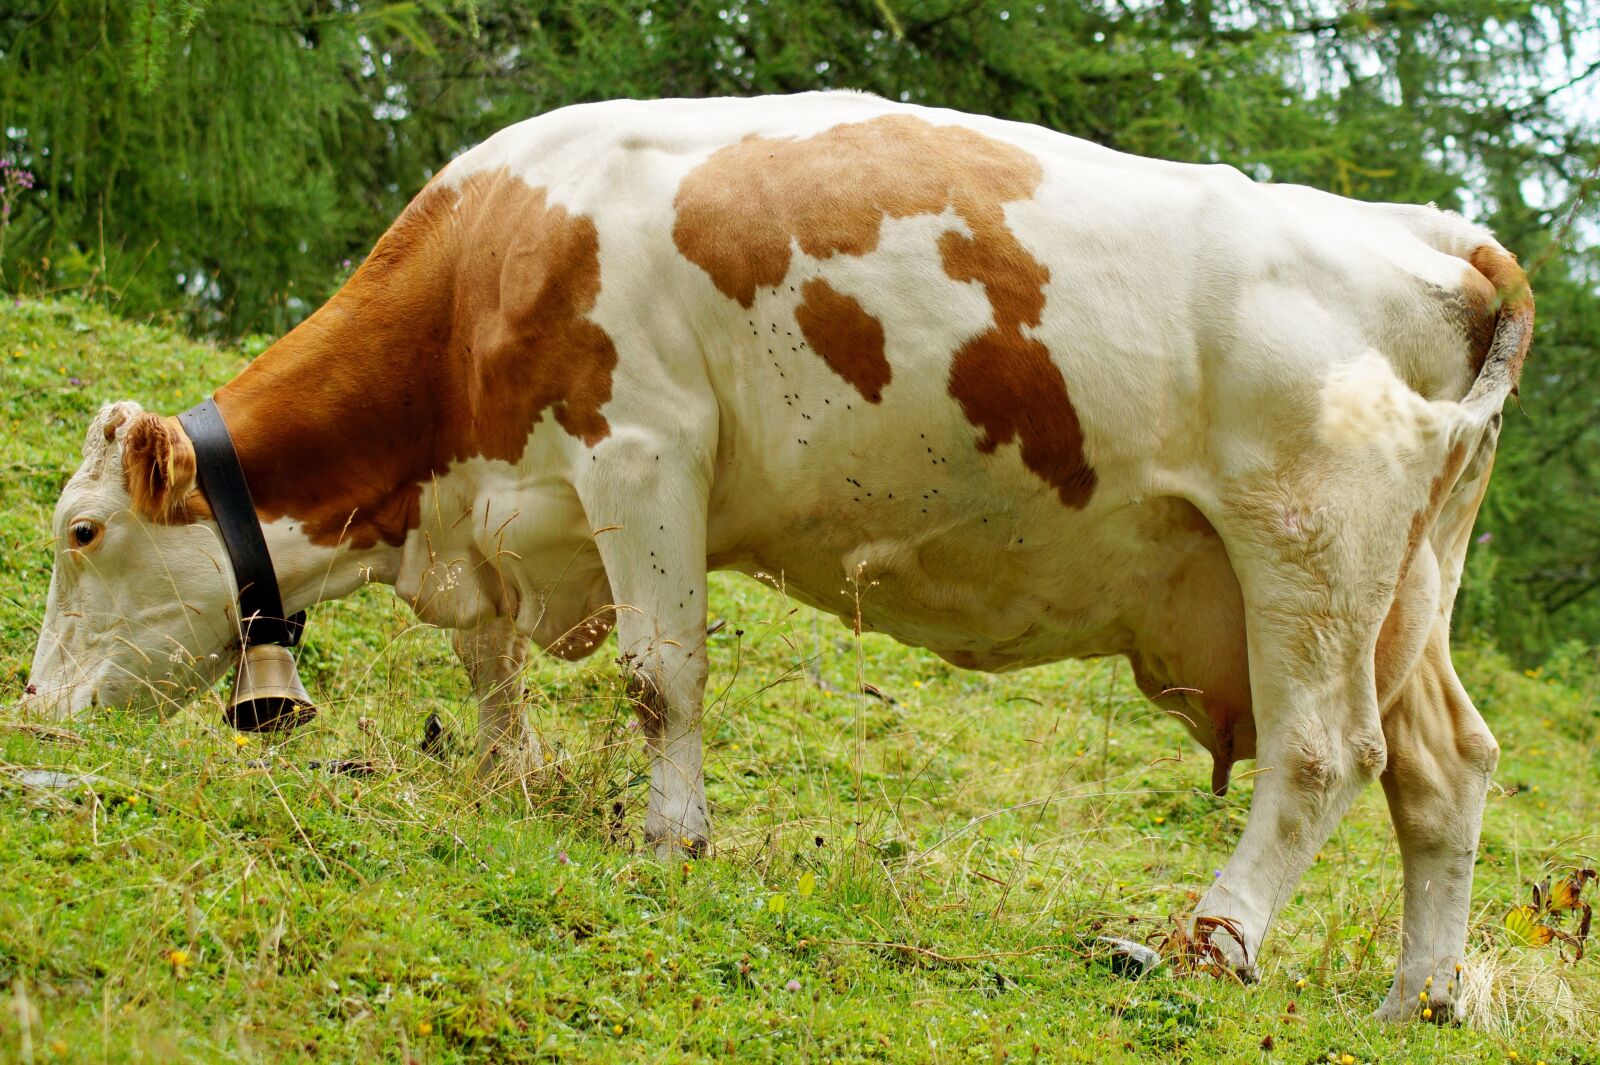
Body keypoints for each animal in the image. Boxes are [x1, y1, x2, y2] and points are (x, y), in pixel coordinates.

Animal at [19, 92, 1532, 1021]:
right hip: (1407, 591)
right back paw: (1417, 994)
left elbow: (658, 674)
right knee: (1444, 771)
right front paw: (511, 782)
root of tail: (1429, 234)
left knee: (1321, 754)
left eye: (81, 534)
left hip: (1307, 549)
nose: (31, 710)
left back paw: (1206, 945)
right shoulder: (504, 510)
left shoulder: (643, 451)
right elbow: (489, 659)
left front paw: (671, 838)